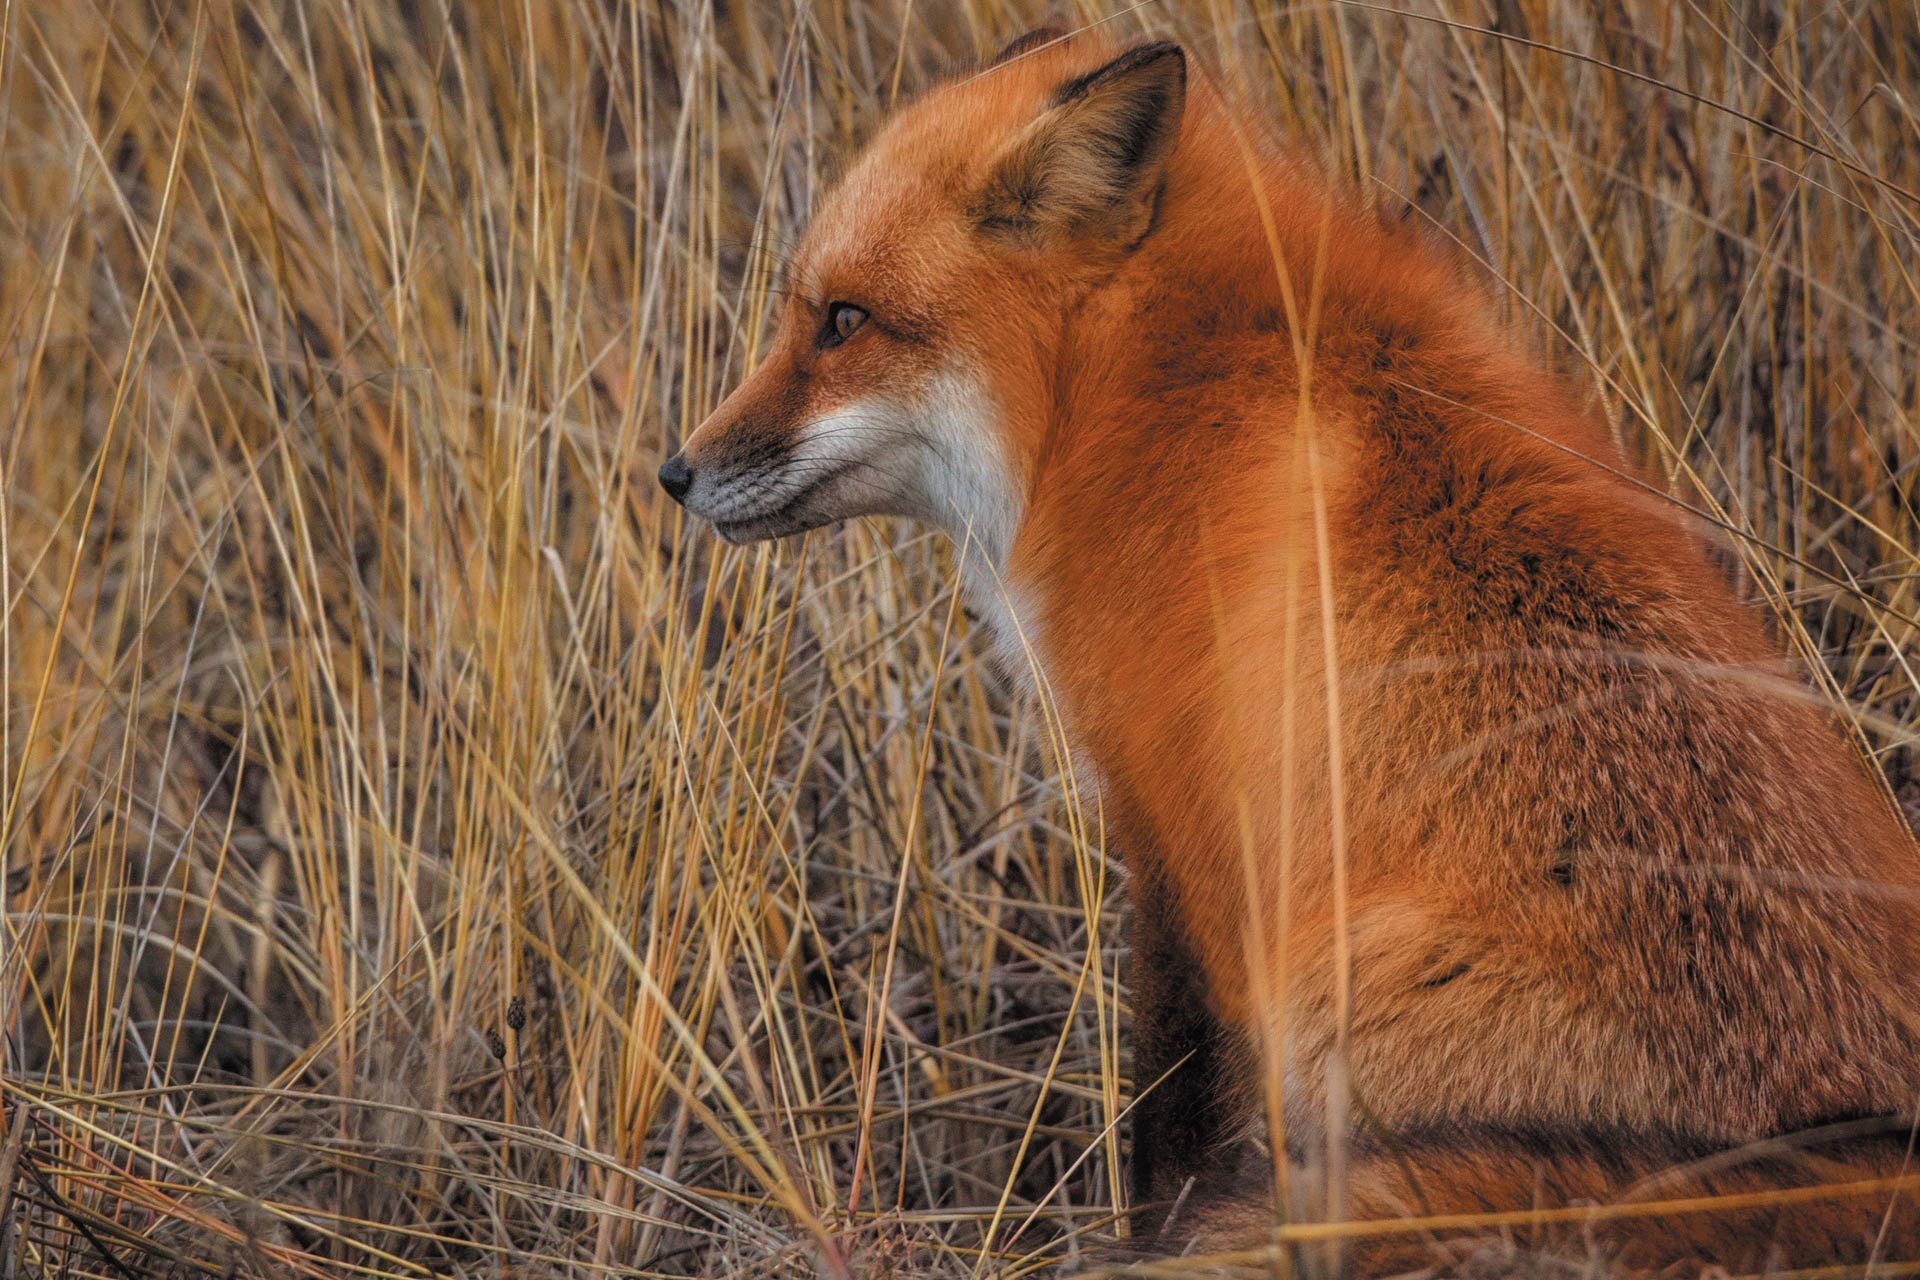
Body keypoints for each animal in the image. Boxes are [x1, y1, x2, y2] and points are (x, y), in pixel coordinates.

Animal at [664, 25, 1920, 1274]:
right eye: (807, 312)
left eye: (842, 321)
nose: (676, 472)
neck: (1132, 382)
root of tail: (1868, 1157)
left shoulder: (1181, 825)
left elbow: (1167, 1114)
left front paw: (1140, 1239)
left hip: (1339, 990)